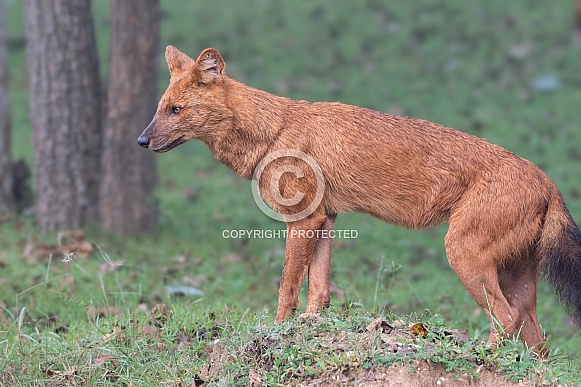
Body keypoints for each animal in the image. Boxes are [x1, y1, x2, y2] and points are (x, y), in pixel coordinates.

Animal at [137, 45, 580, 354]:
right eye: (160, 109)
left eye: (177, 110)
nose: (140, 140)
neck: (274, 130)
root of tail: (549, 181)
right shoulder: (324, 218)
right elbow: (318, 290)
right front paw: (309, 328)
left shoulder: (302, 221)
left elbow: (287, 287)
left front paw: (278, 333)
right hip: (515, 276)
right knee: (536, 337)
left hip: (463, 253)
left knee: (505, 319)